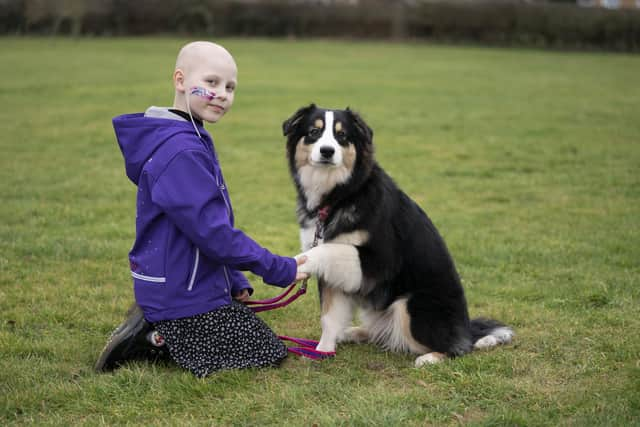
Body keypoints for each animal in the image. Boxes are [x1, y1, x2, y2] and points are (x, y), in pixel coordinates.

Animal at [284, 104, 516, 368]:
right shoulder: (336, 274)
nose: (327, 151)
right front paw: (322, 351)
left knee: (457, 348)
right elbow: (330, 316)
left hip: (411, 305)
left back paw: (431, 357)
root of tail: (466, 330)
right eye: (314, 132)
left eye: (342, 136)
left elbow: (324, 250)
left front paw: (298, 262)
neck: (341, 195)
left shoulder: (379, 260)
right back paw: (353, 332)